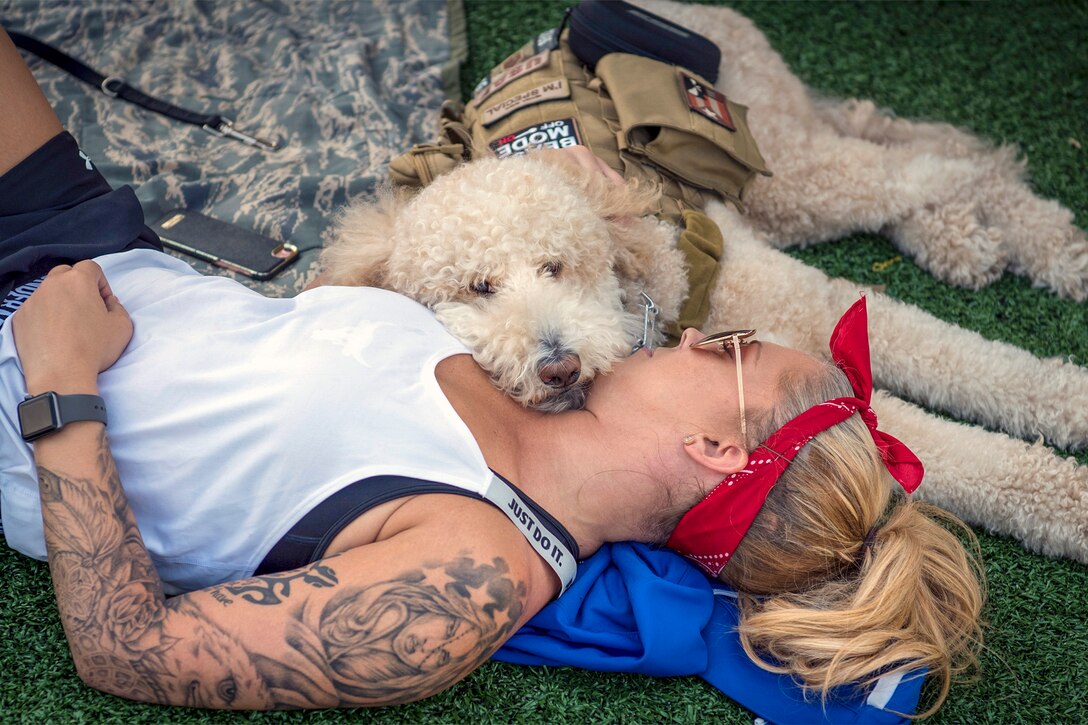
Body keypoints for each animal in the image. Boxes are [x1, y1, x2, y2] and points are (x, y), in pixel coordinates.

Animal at [322, 0, 1088, 561]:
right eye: (475, 288)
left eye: (555, 265)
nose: (557, 366)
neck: (642, 293)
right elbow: (965, 438)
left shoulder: (810, 305)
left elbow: (980, 367)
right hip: (786, 179)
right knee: (904, 146)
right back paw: (966, 239)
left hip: (784, 166)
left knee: (934, 159)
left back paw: (1040, 239)